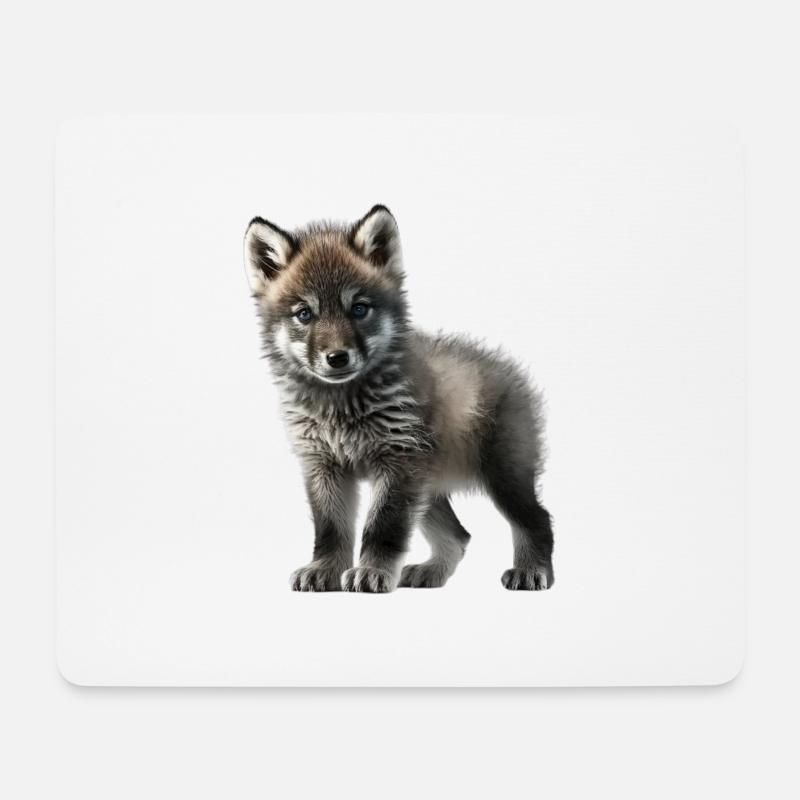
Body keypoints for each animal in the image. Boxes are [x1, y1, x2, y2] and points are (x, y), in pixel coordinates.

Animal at [243, 205, 554, 592]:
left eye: (359, 309)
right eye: (305, 314)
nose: (337, 358)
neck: (342, 406)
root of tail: (509, 368)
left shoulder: (397, 463)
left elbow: (383, 527)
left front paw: (371, 571)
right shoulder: (323, 466)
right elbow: (330, 530)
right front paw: (324, 569)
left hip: (503, 476)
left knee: (537, 520)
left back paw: (531, 570)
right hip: (427, 489)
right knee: (459, 535)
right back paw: (431, 571)